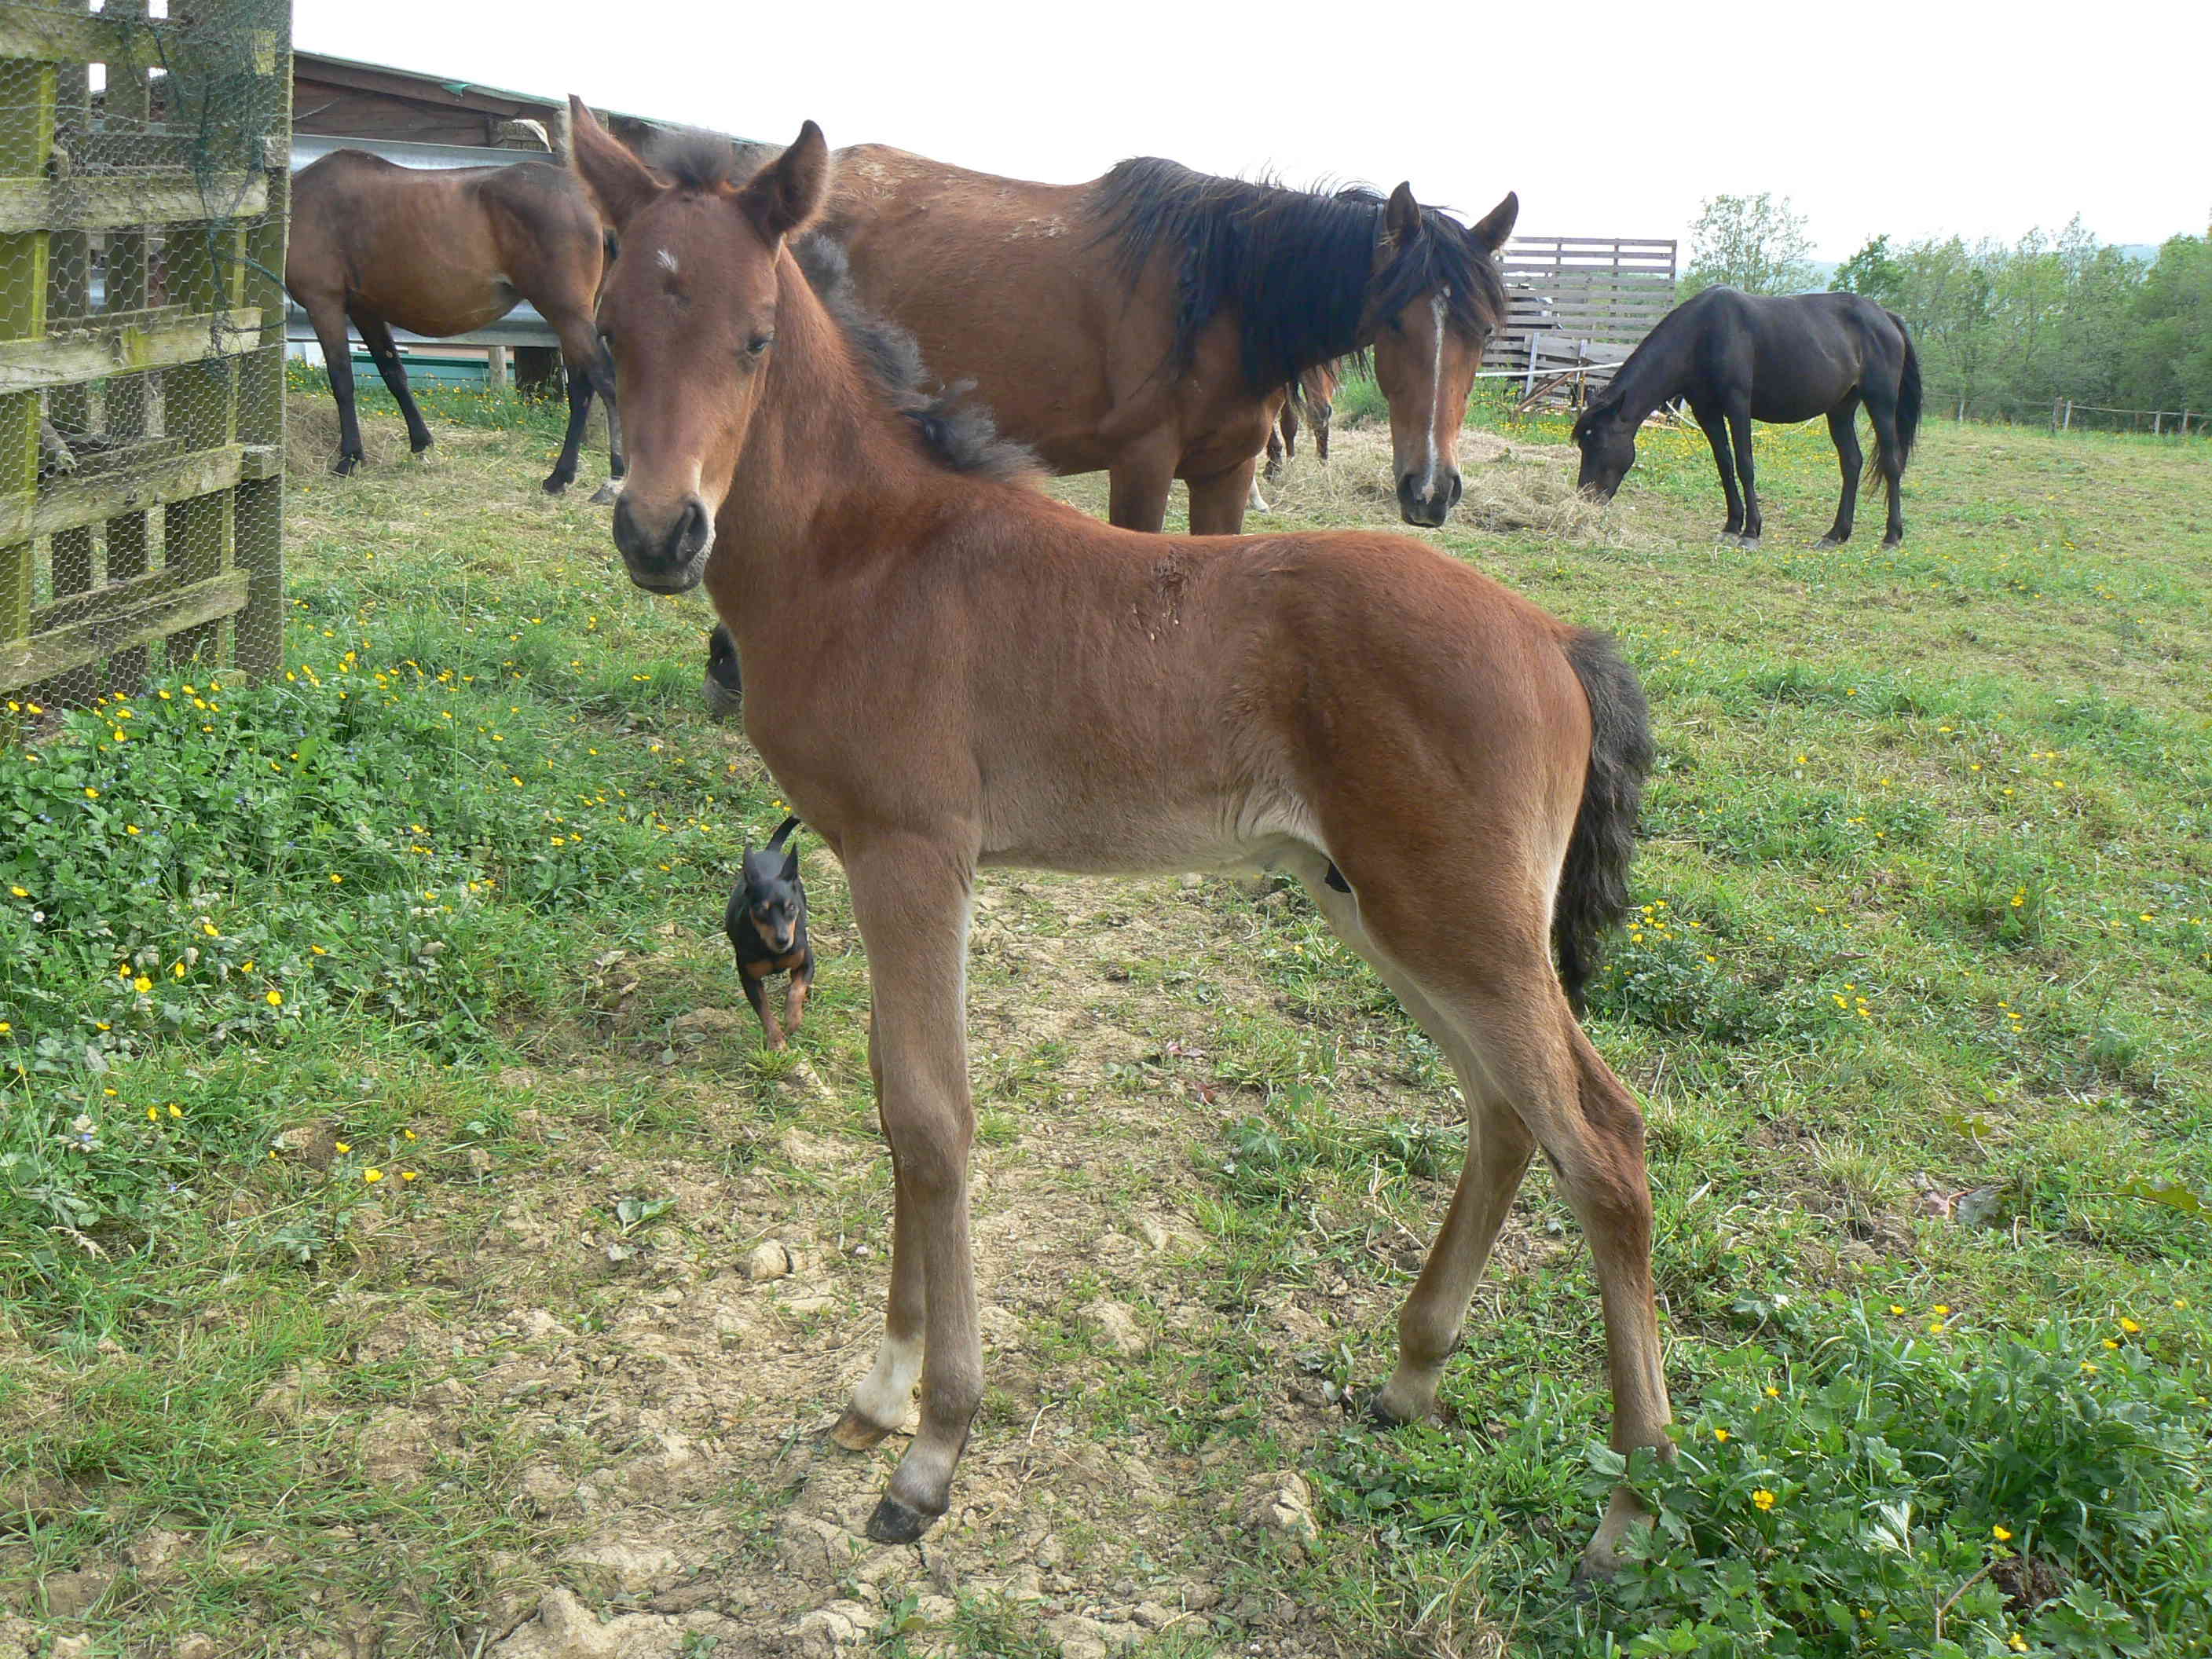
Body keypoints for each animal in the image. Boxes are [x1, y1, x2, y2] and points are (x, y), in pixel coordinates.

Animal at [725, 818, 814, 1053]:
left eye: (791, 907)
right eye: (760, 911)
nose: (783, 940)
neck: (771, 950)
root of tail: (771, 850)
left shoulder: (806, 963)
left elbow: (796, 990)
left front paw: (792, 1019)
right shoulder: (750, 979)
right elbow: (764, 1011)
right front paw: (776, 1040)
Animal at [1574, 285, 1920, 546]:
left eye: (1600, 444)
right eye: (1583, 444)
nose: (1585, 499)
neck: (1704, 333)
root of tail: (1887, 318)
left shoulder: (1738, 405)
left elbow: (1745, 465)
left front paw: (1751, 531)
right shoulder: (1707, 411)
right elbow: (1725, 466)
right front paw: (1731, 526)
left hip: (1880, 403)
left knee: (1891, 463)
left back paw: (1892, 536)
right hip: (1841, 409)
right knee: (1851, 463)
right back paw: (1836, 534)